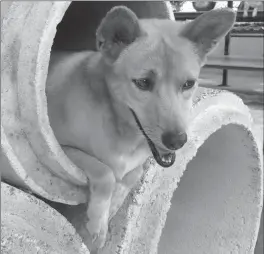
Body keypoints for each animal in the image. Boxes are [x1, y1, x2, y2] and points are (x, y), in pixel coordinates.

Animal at [45, 5, 235, 250]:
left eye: (188, 84)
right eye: (143, 83)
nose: (177, 141)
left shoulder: (137, 163)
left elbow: (132, 175)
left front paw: (112, 208)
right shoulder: (59, 148)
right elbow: (105, 173)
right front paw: (98, 224)